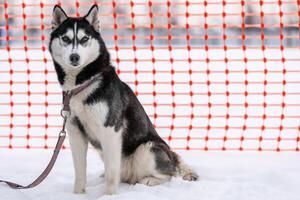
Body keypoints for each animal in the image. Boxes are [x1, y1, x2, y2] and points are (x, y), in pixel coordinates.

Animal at [49, 4, 198, 195]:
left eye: (84, 39)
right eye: (66, 38)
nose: (74, 57)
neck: (83, 84)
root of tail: (171, 155)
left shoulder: (111, 131)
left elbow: (113, 174)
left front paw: (109, 196)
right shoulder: (75, 132)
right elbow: (80, 170)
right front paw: (78, 194)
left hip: (146, 149)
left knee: (169, 174)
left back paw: (149, 180)